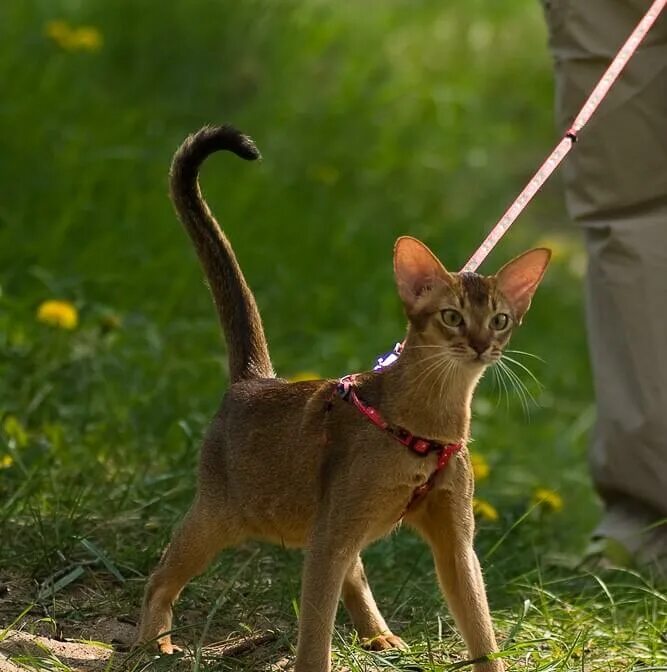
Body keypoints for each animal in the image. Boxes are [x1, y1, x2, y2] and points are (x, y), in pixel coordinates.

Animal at [134, 123, 548, 668]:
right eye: (452, 317)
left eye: (500, 319)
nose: (481, 344)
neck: (428, 425)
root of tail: (255, 381)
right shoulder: (331, 535)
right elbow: (315, 630)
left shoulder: (457, 541)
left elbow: (481, 628)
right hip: (223, 515)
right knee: (162, 574)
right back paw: (152, 641)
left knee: (354, 570)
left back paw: (380, 635)